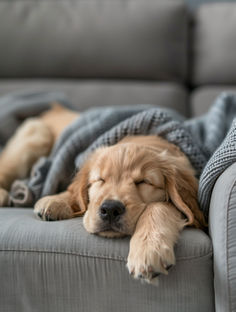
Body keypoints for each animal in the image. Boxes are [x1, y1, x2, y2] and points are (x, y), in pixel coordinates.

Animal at [0, 103, 206, 284]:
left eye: (143, 182)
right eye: (100, 179)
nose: (110, 209)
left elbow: (160, 205)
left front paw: (148, 250)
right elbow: (75, 190)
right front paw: (56, 200)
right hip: (35, 136)